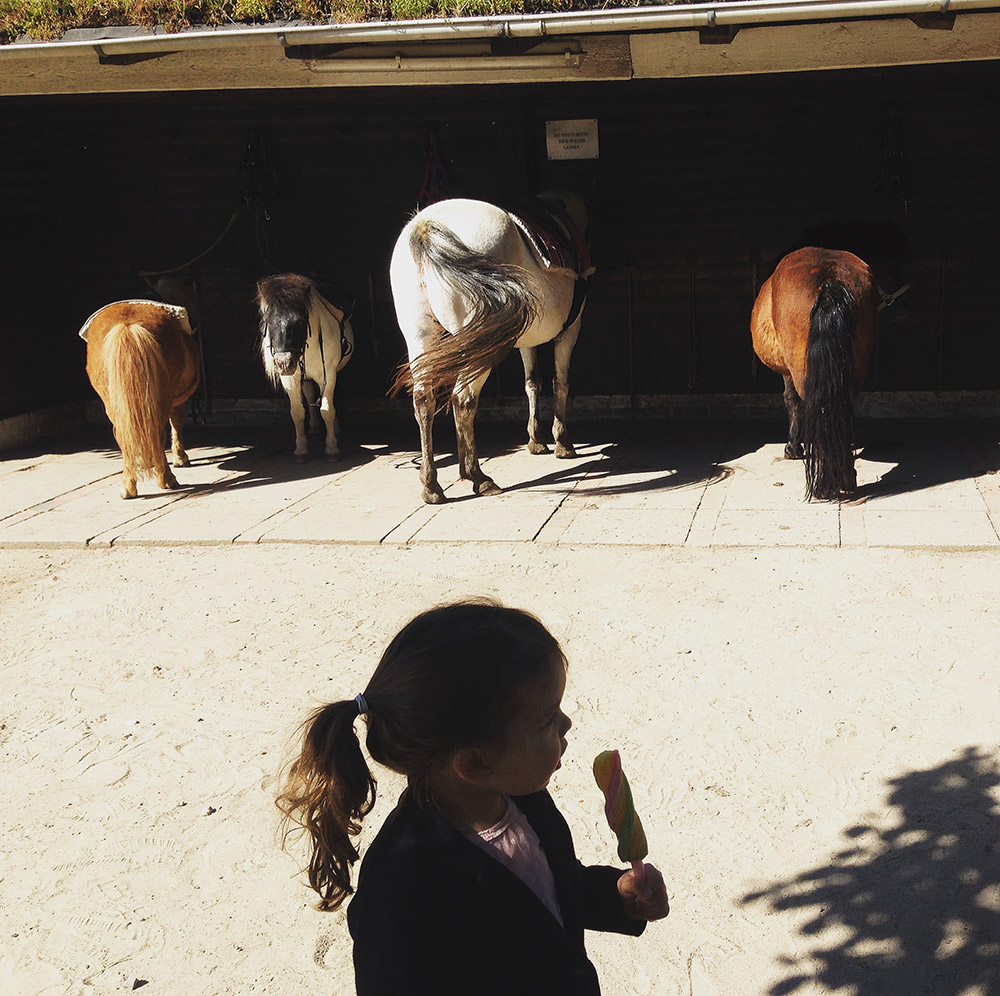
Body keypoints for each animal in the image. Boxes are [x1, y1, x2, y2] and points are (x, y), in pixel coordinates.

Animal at [81, 296, 202, 498]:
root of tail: (127, 324)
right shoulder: (176, 400)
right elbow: (177, 423)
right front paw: (180, 458)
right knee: (157, 433)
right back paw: (166, 479)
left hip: (114, 403)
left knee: (124, 435)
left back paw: (128, 486)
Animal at [258, 274, 356, 464]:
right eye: (268, 321)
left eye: (300, 321)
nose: (284, 362)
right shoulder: (290, 379)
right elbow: (297, 413)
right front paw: (301, 450)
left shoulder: (329, 375)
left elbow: (327, 410)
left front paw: (332, 449)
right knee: (310, 394)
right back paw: (315, 429)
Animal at [388, 190, 592, 502]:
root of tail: (427, 227)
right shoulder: (570, 330)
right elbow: (560, 383)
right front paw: (562, 443)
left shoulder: (525, 340)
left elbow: (532, 383)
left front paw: (535, 440)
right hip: (480, 347)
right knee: (463, 400)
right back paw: (477, 477)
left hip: (423, 338)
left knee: (424, 401)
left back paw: (432, 484)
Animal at [752, 229, 912, 502]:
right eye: (892, 264)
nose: (905, 309)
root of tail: (830, 280)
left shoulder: (789, 372)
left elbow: (792, 401)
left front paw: (793, 448)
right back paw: (846, 476)